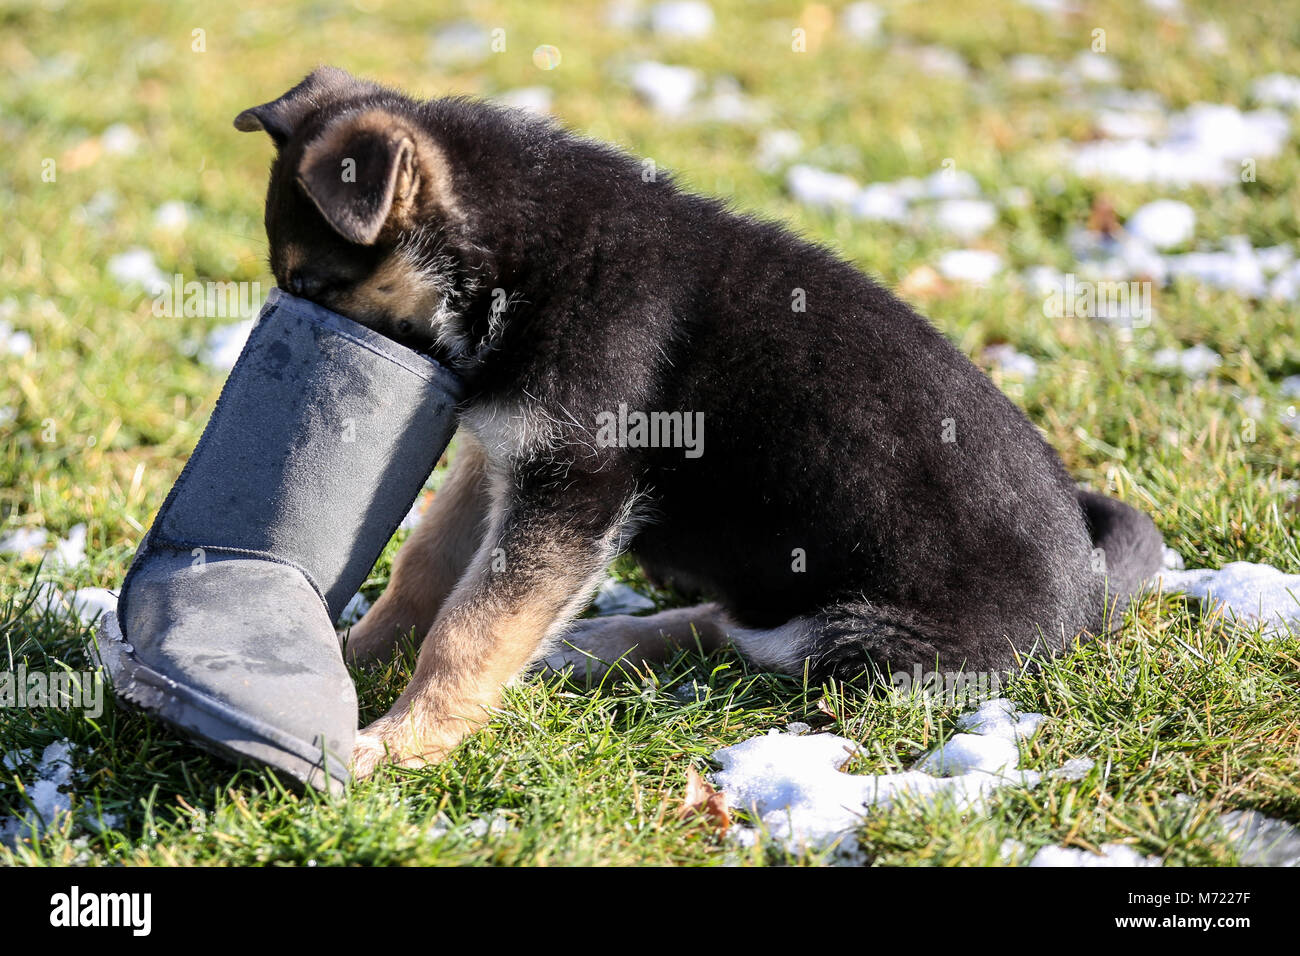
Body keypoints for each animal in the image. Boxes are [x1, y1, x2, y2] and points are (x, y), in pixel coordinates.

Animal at [231, 67, 1159, 775]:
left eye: (310, 286)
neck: (515, 253)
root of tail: (1092, 593)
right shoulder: (503, 456)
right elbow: (427, 569)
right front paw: (348, 663)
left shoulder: (573, 485)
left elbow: (473, 625)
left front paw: (401, 744)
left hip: (865, 634)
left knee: (746, 637)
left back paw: (599, 645)